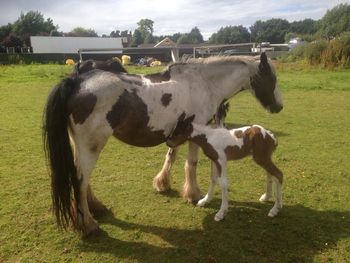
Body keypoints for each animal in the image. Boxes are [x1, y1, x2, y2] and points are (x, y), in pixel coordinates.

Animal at [43, 52, 284, 236]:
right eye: (271, 78)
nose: (279, 107)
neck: (203, 83)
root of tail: (76, 82)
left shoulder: (178, 133)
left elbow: (172, 155)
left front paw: (163, 183)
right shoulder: (196, 132)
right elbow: (191, 163)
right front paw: (194, 194)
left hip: (81, 146)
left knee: (81, 178)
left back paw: (95, 209)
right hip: (91, 146)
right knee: (81, 180)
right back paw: (88, 224)